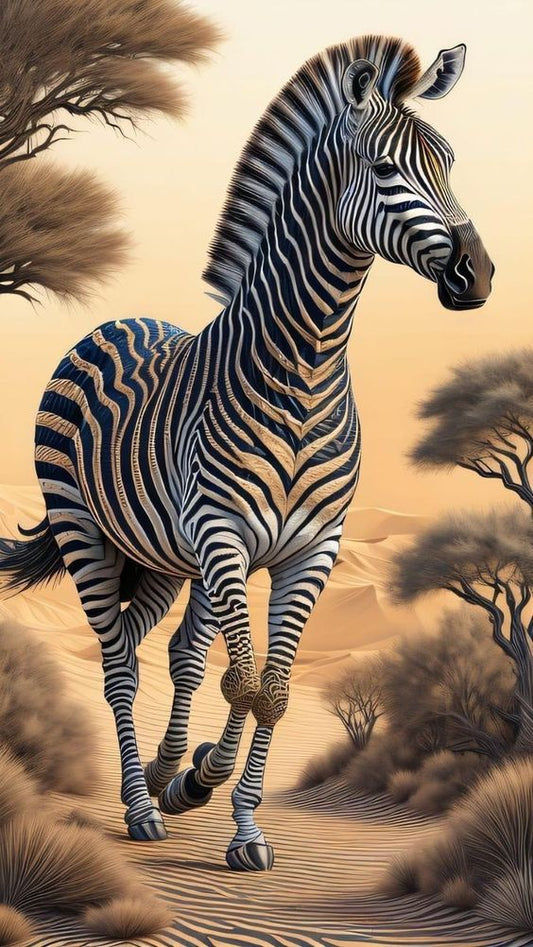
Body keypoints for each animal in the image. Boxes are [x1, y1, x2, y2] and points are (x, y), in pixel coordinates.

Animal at [0, 35, 493, 871]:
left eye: (450, 162)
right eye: (385, 169)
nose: (479, 274)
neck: (306, 363)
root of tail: (112, 322)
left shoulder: (311, 548)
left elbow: (271, 686)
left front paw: (225, 805)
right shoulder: (223, 533)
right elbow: (244, 682)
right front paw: (202, 785)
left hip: (162, 556)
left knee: (155, 648)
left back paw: (158, 776)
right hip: (85, 530)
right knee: (120, 663)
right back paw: (141, 808)